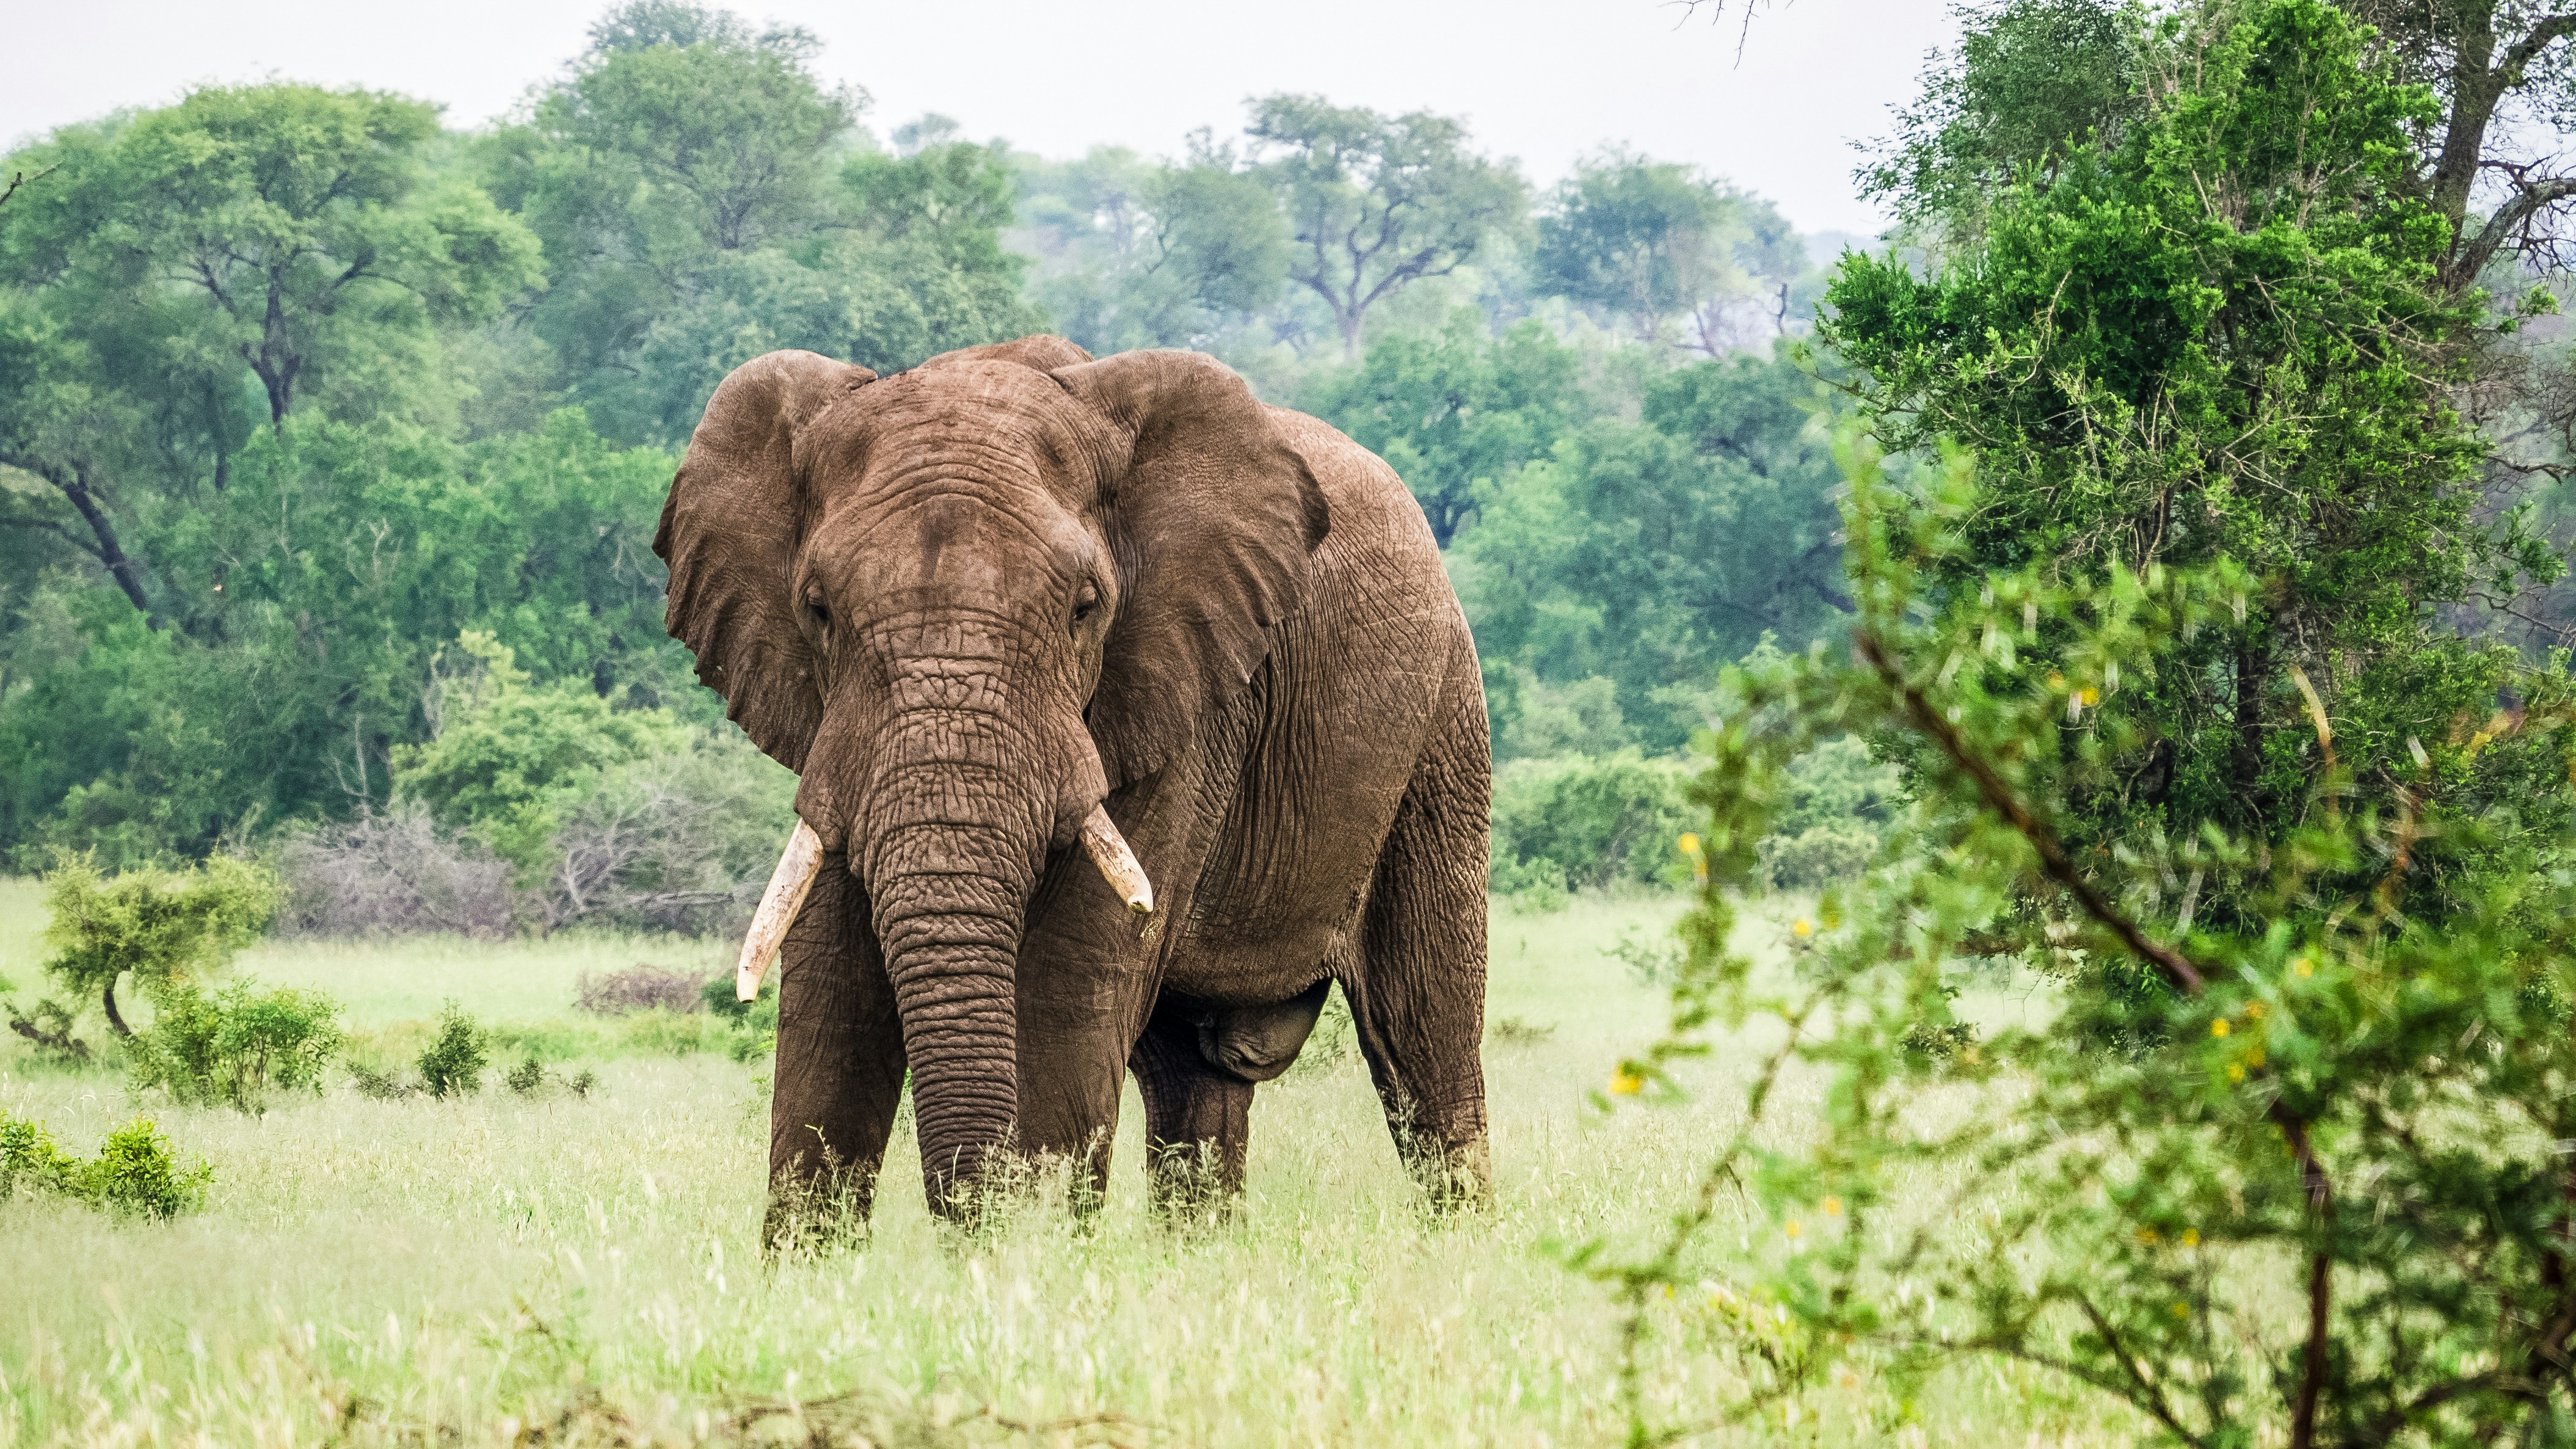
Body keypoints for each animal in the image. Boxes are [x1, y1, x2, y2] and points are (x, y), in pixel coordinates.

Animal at [653, 334, 1490, 1235]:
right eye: (818, 611)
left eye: (1084, 608)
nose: (970, 1221)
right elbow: (831, 991)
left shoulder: (1181, 699)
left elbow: (1064, 983)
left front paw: (1031, 1252)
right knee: (1193, 1080)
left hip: (1442, 728)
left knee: (1424, 1035)